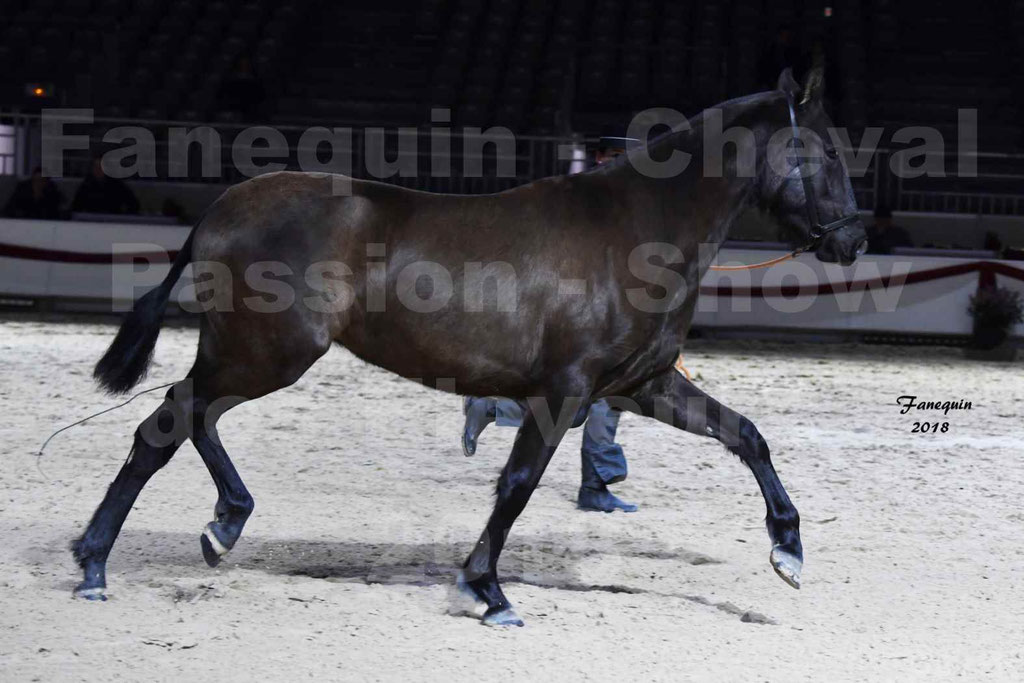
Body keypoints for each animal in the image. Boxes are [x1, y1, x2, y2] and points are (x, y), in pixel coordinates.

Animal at [71, 68, 866, 626]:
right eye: (826, 151)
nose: (854, 241)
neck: (638, 231)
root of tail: (222, 208)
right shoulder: (564, 391)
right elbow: (516, 486)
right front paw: (487, 591)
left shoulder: (641, 385)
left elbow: (747, 435)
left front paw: (788, 550)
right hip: (265, 354)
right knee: (168, 424)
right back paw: (111, 558)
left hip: (251, 355)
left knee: (183, 420)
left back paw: (196, 531)